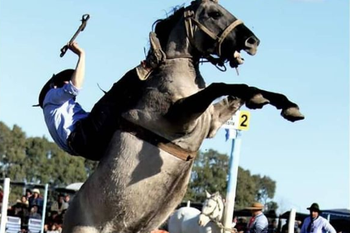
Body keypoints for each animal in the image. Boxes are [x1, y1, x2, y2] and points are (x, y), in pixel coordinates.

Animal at [63, 0, 304, 232]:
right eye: (214, 14)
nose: (253, 42)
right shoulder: (179, 117)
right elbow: (220, 85)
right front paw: (263, 99)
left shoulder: (212, 122)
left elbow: (238, 91)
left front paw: (286, 105)